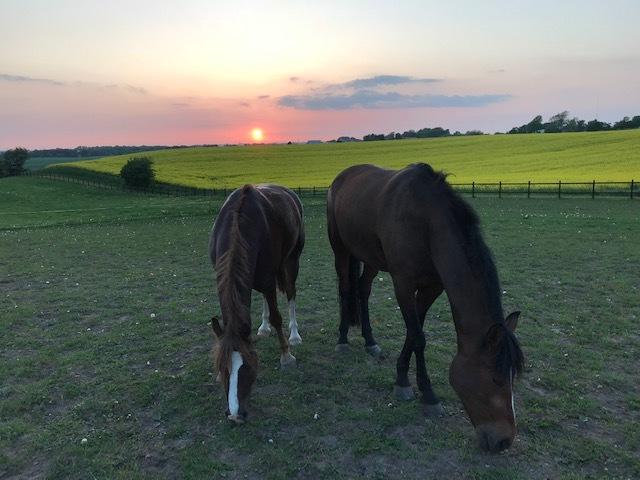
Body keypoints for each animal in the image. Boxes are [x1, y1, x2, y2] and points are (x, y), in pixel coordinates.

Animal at [208, 184, 302, 424]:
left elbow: (278, 317)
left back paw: (294, 335)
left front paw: (286, 356)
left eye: (248, 367)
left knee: (291, 293)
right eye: (223, 368)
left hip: (291, 261)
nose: (234, 415)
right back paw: (263, 327)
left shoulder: (268, 279)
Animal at [328, 163, 524, 452]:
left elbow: (414, 332)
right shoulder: (403, 284)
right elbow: (418, 337)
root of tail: (342, 177)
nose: (504, 441)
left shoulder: (432, 287)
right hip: (340, 248)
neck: (427, 223)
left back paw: (370, 341)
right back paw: (342, 339)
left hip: (371, 257)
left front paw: (405, 378)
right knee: (345, 288)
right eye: (495, 379)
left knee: (363, 291)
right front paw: (424, 393)